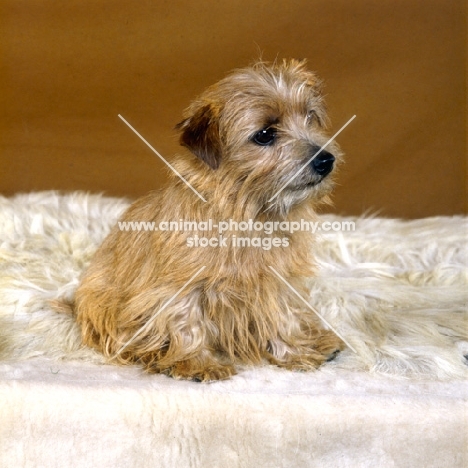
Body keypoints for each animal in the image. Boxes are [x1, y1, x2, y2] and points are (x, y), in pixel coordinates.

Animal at [73, 59, 344, 380]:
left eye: (310, 117)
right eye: (265, 134)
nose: (325, 160)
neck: (246, 214)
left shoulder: (275, 282)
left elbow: (282, 317)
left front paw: (296, 351)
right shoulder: (178, 287)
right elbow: (186, 322)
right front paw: (197, 363)